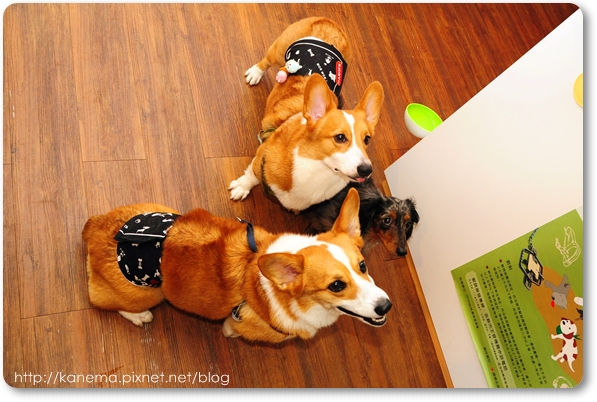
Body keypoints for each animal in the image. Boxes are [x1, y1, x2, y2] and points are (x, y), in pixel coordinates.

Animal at [82, 189, 393, 344]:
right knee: (100, 300)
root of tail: (95, 226)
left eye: (363, 265)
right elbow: (233, 329)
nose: (386, 306)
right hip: (148, 293)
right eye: (336, 285)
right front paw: (229, 332)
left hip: (163, 208)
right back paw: (139, 316)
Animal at [229, 17, 385, 213]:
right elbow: (251, 177)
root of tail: (328, 22)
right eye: (340, 137)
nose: (366, 169)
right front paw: (241, 188)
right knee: (266, 61)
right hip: (279, 50)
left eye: (367, 139)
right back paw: (255, 73)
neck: (320, 171)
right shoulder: (259, 161)